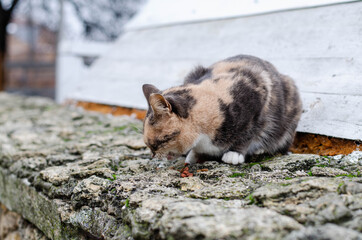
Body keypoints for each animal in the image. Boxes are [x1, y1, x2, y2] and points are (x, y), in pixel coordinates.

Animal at [141, 54, 302, 165]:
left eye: (157, 143)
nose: (152, 156)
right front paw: (194, 155)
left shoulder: (257, 97)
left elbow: (249, 132)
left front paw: (234, 154)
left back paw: (263, 149)